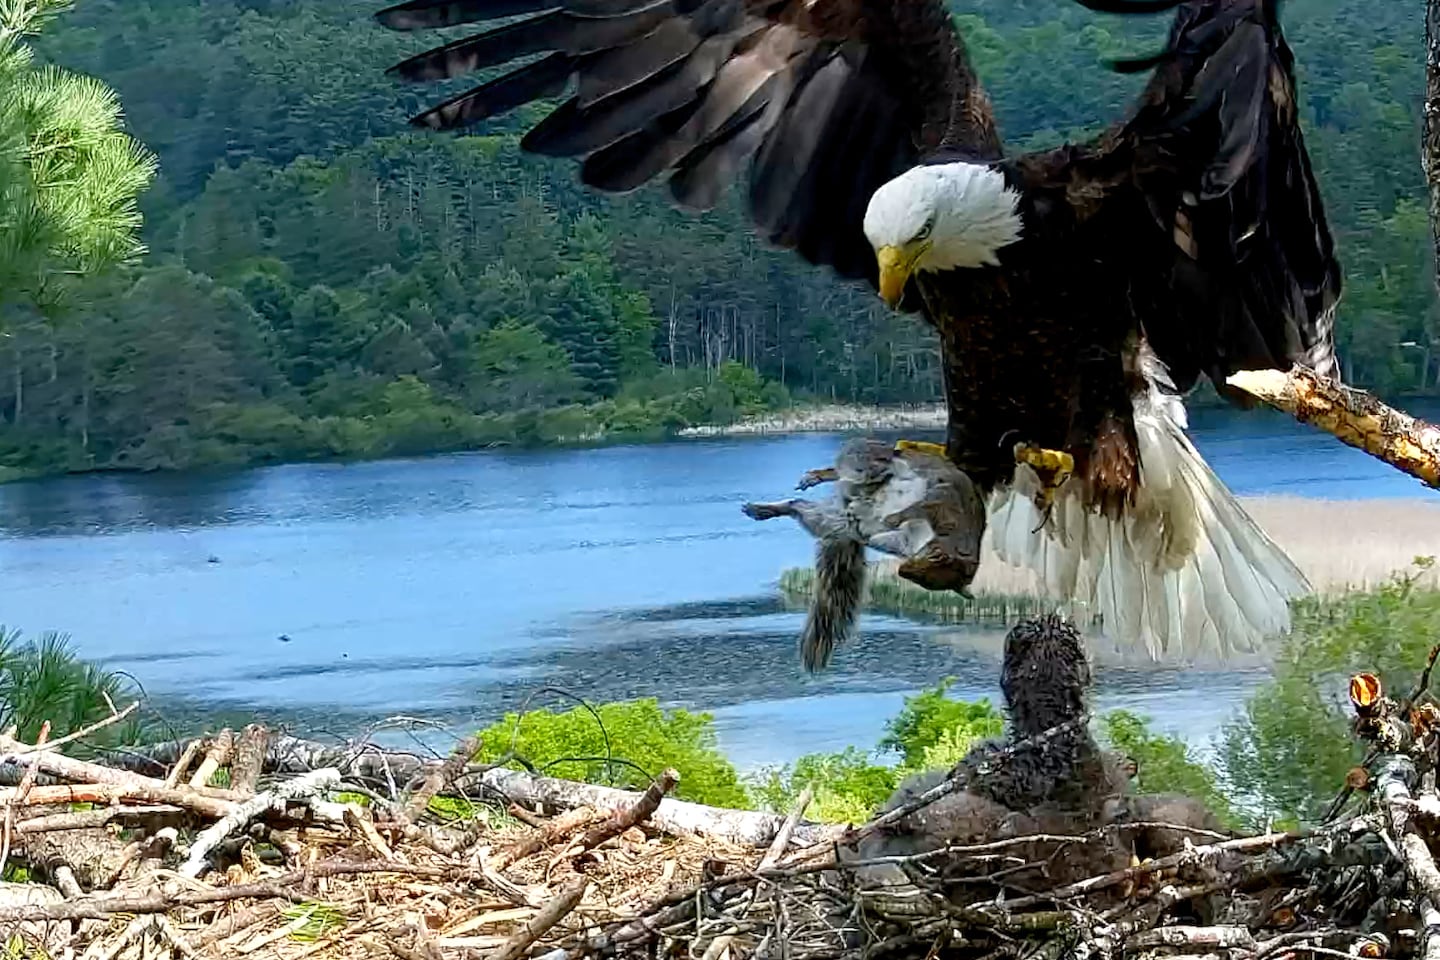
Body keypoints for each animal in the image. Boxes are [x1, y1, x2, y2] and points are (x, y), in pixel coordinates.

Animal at [742, 437, 987, 671]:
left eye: (925, 581)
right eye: (933, 559)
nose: (903, 571)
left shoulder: (906, 540)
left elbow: (891, 537)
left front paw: (878, 535)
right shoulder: (944, 504)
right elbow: (923, 504)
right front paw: (894, 517)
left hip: (832, 519)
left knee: (803, 507)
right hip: (871, 459)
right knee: (856, 469)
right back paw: (825, 476)